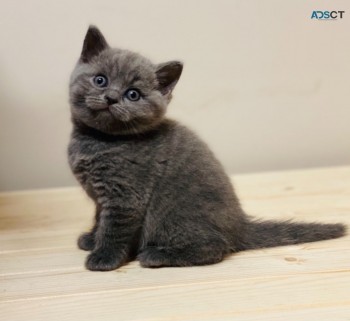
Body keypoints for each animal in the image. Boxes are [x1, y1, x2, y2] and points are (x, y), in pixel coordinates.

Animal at [67, 25, 344, 270]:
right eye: (100, 80)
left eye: (133, 94)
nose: (111, 97)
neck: (99, 140)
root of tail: (239, 226)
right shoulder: (102, 198)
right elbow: (100, 218)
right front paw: (92, 238)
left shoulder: (126, 195)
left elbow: (114, 228)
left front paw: (104, 257)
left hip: (172, 213)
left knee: (215, 247)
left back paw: (156, 255)